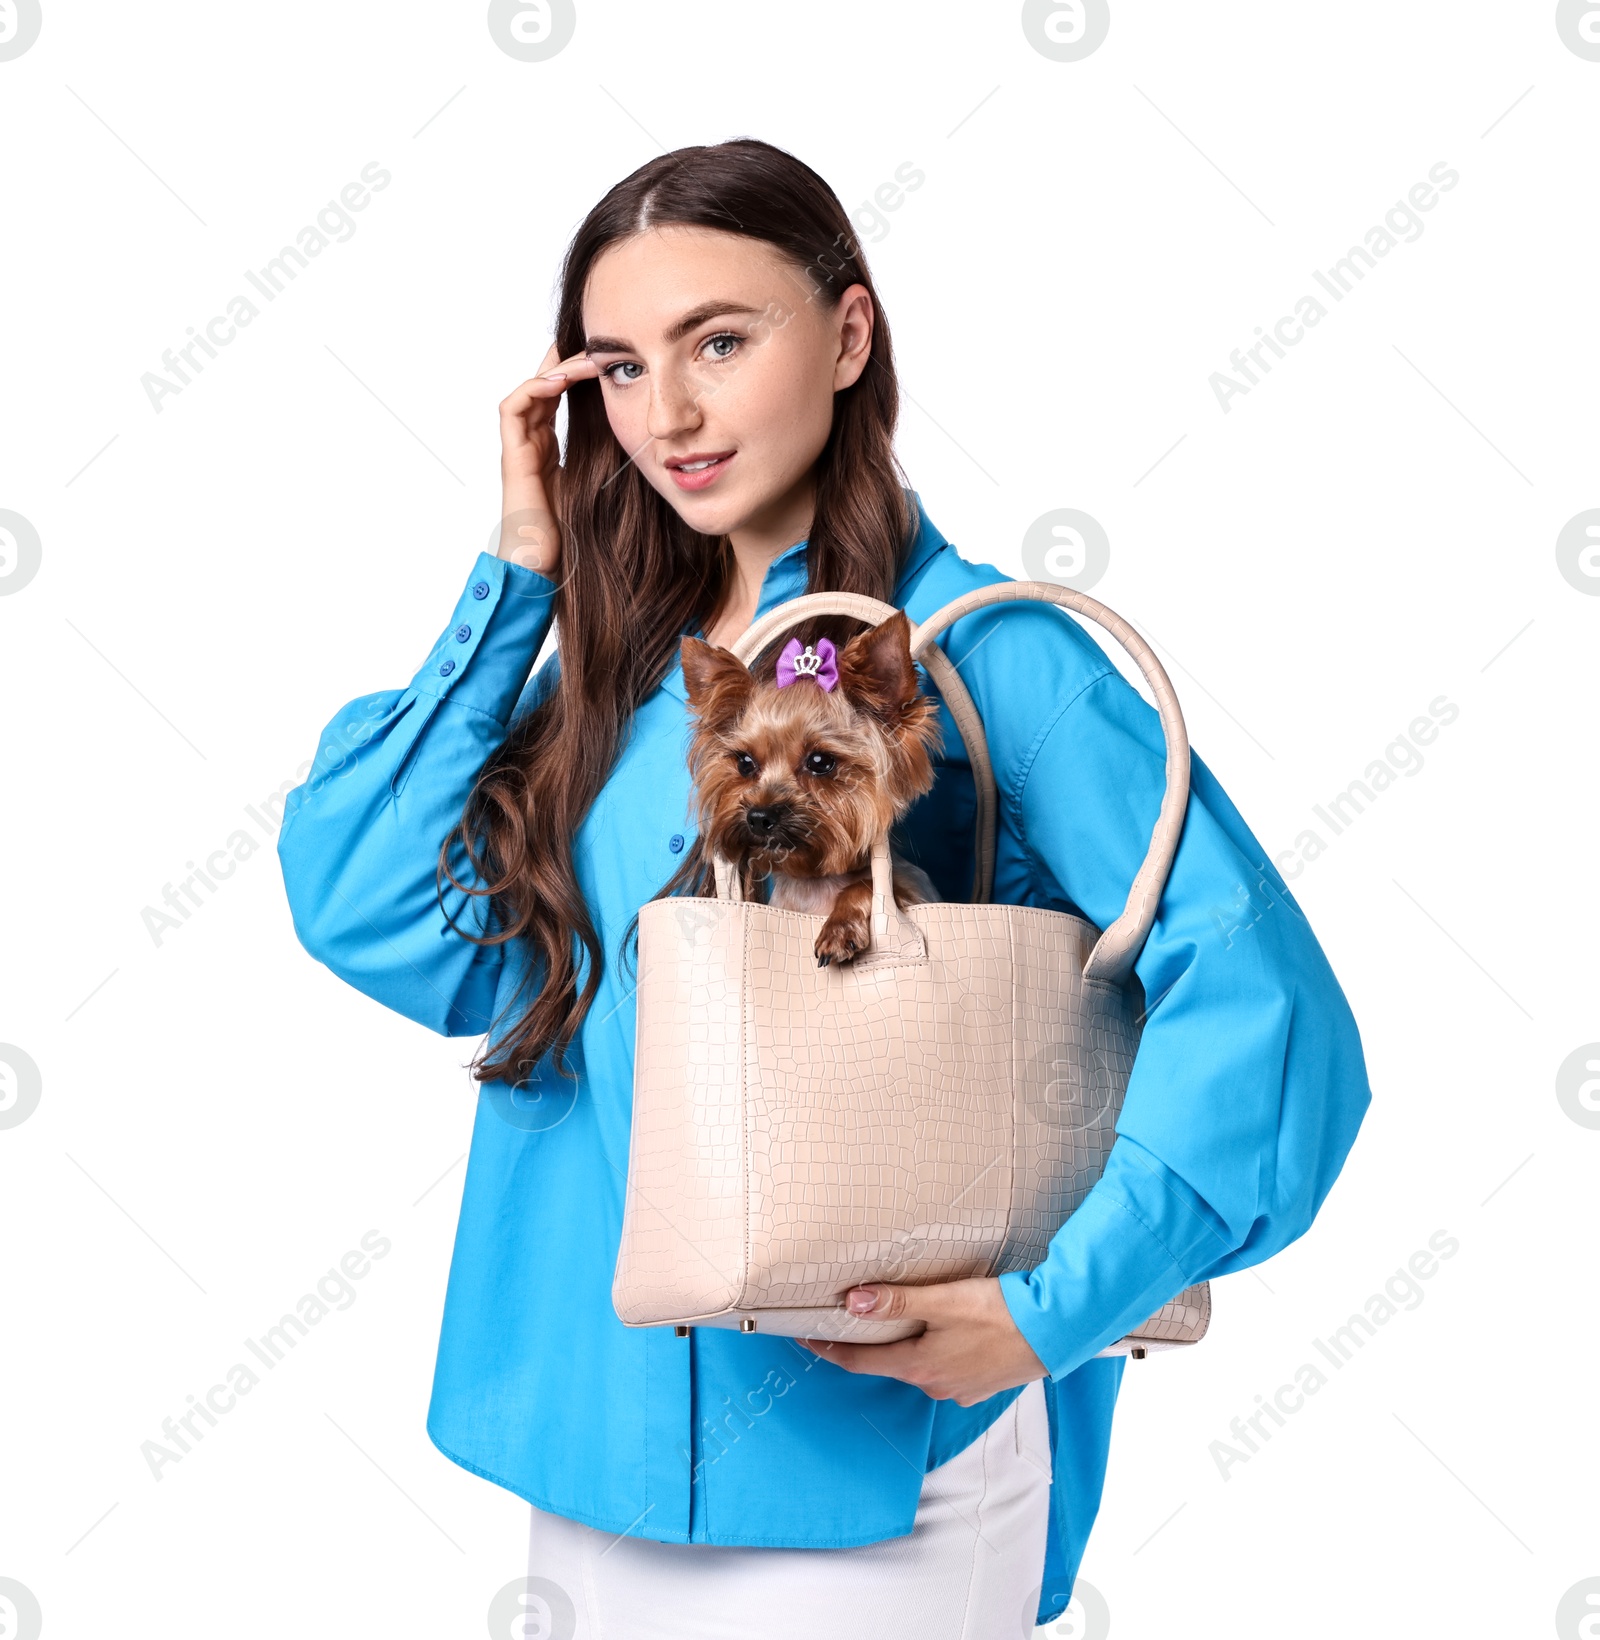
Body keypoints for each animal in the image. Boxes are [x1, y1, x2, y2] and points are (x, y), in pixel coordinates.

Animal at [678, 616, 950, 970]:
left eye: (820, 762)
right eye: (745, 763)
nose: (759, 816)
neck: (813, 884)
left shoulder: (916, 894)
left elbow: (866, 884)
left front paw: (838, 930)